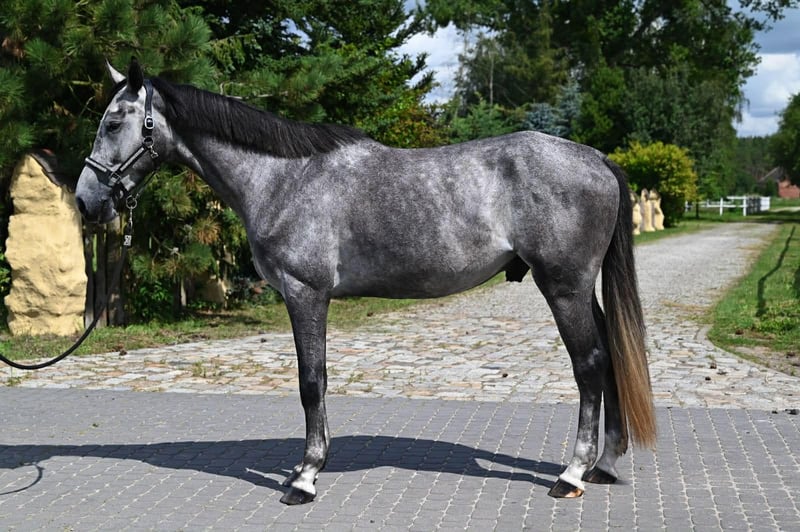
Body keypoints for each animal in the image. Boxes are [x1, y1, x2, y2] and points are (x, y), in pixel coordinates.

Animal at [76, 59, 656, 505]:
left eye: (114, 122)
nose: (86, 201)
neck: (284, 177)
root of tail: (596, 158)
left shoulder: (306, 294)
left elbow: (312, 382)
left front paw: (305, 477)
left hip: (563, 287)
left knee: (589, 365)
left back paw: (572, 474)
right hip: (581, 290)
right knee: (608, 358)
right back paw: (604, 465)